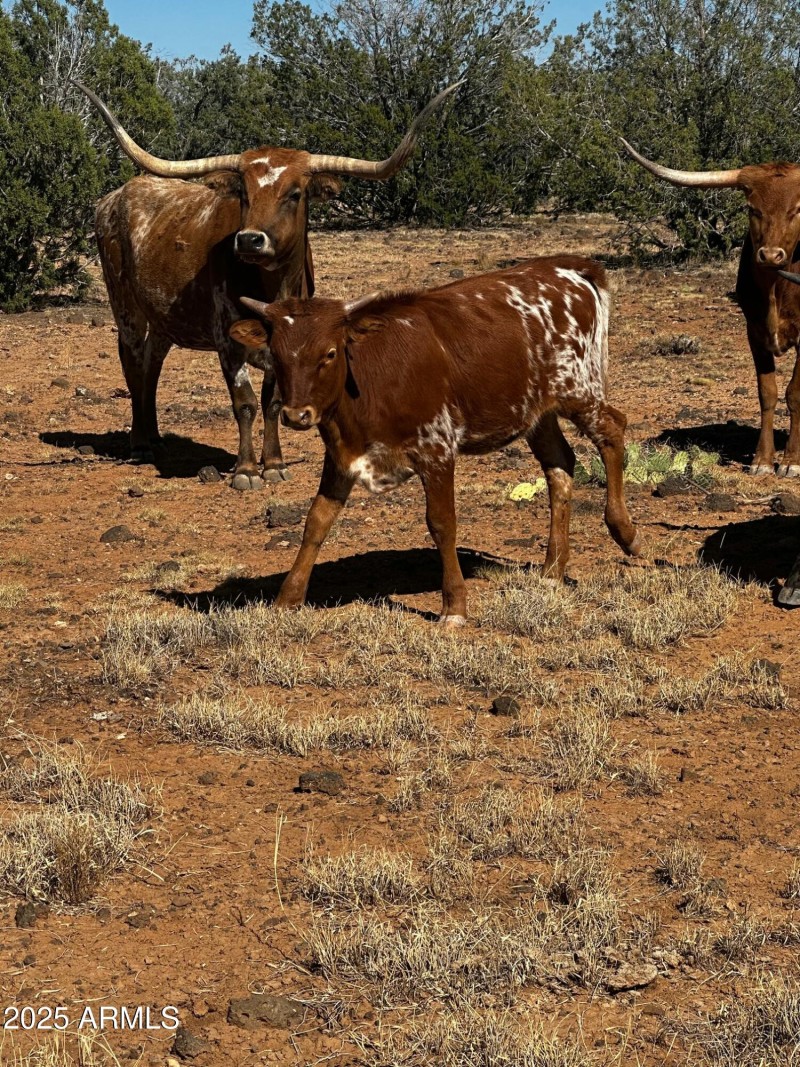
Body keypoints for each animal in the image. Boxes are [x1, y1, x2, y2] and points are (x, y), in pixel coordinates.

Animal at [75, 82, 460, 489]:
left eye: (295, 193)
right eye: (244, 194)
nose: (249, 240)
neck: (273, 287)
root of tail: (114, 196)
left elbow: (272, 402)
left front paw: (274, 463)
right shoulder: (227, 339)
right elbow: (244, 403)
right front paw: (246, 470)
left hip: (165, 316)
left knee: (152, 363)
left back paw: (155, 437)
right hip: (125, 306)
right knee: (133, 363)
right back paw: (140, 444)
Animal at [229, 256, 641, 622]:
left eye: (329, 353)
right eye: (276, 355)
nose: (295, 415)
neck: (369, 382)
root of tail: (568, 267)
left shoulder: (437, 450)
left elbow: (442, 523)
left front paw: (454, 606)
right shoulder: (341, 458)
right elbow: (316, 521)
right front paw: (288, 597)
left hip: (579, 391)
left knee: (612, 430)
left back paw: (625, 532)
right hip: (537, 412)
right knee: (560, 466)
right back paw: (553, 568)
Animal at [621, 139, 800, 478]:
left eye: (797, 209)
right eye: (752, 209)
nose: (770, 255)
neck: (776, 289)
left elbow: (795, 393)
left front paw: (792, 461)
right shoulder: (754, 331)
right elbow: (767, 393)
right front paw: (762, 460)